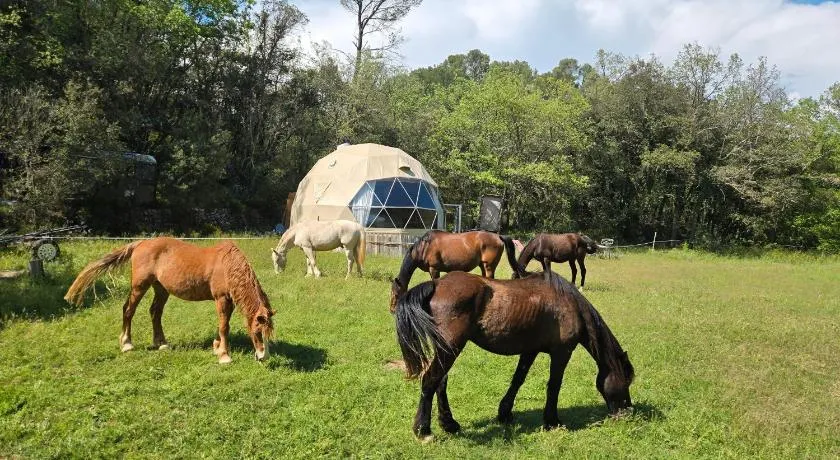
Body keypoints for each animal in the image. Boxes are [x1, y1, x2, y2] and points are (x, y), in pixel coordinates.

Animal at [64, 237, 275, 364]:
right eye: (258, 332)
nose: (263, 357)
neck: (227, 265)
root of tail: (140, 243)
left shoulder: (228, 301)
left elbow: (222, 324)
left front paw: (217, 348)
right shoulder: (221, 299)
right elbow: (224, 327)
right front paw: (224, 356)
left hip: (161, 289)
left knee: (155, 312)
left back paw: (162, 343)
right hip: (140, 286)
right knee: (128, 310)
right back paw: (126, 344)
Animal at [388, 230, 527, 313]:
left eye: (396, 294)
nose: (392, 310)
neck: (424, 246)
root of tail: (498, 236)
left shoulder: (434, 269)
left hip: (489, 266)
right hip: (482, 266)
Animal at [394, 270, 634, 440]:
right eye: (626, 382)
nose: (627, 413)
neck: (568, 303)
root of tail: (436, 284)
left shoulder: (530, 350)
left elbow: (518, 380)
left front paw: (505, 413)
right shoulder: (561, 352)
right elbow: (554, 385)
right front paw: (552, 421)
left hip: (447, 349)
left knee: (440, 382)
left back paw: (449, 424)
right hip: (451, 347)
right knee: (430, 380)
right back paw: (423, 431)